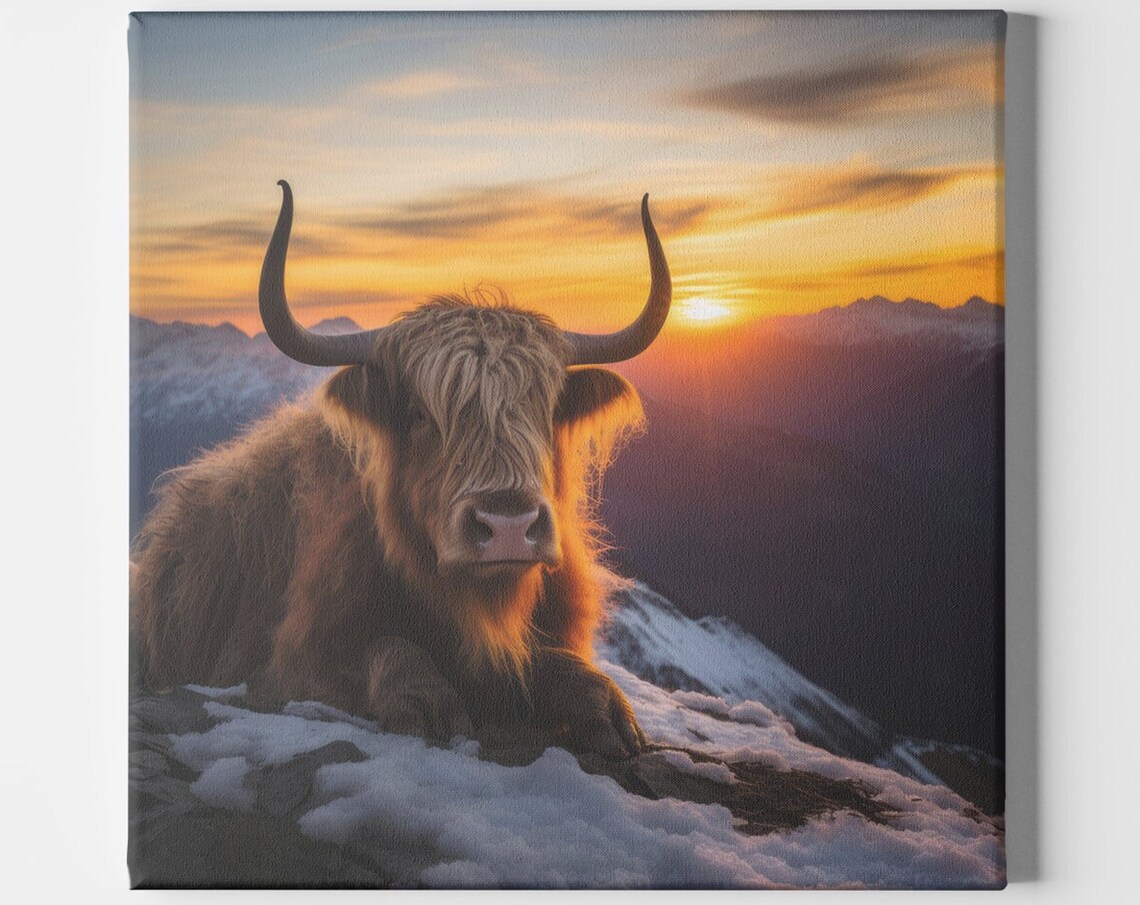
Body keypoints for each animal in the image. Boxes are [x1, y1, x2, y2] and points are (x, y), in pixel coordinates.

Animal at [130, 180, 671, 758]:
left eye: (544, 410)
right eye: (419, 413)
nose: (507, 526)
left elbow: (561, 665)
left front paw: (612, 714)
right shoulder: (290, 662)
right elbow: (386, 647)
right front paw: (427, 706)